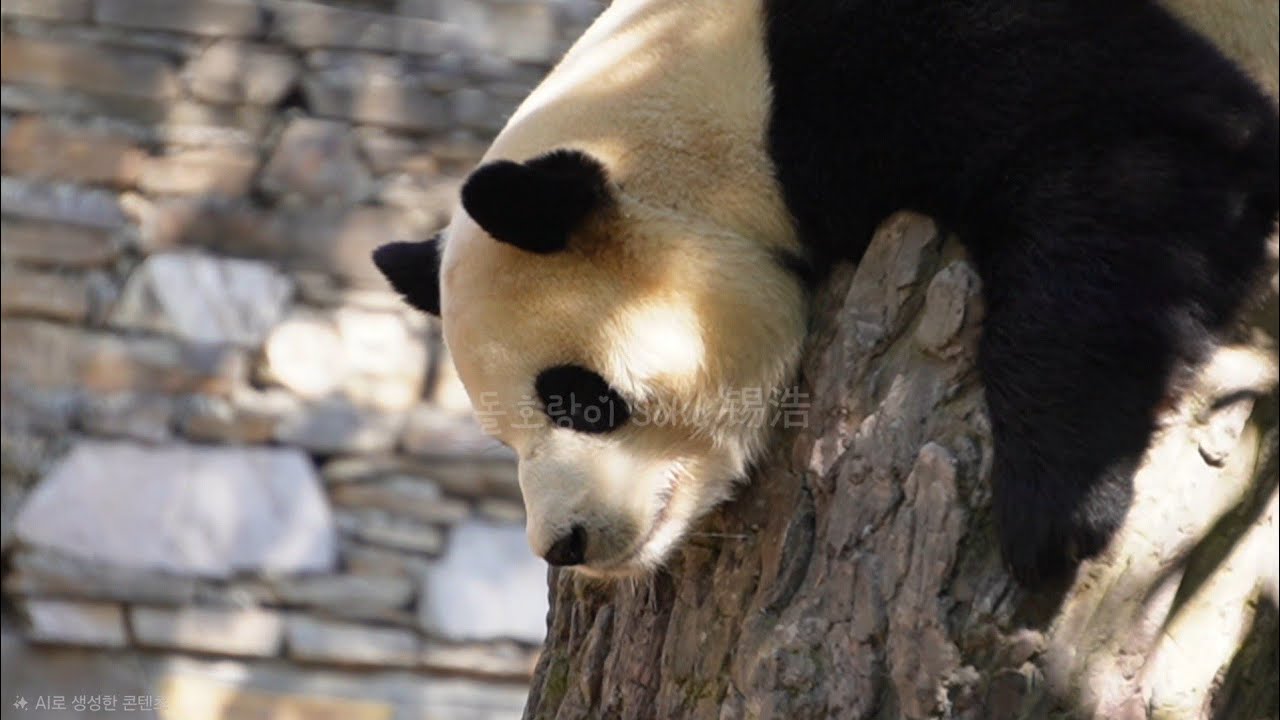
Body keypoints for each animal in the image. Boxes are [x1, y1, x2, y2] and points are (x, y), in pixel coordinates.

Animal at [374, 0, 1279, 585]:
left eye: (582, 400)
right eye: (504, 438)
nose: (562, 544)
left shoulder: (872, 60)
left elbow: (1136, 146)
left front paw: (1056, 513)